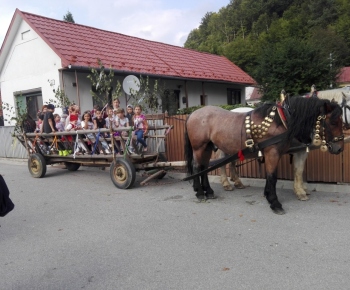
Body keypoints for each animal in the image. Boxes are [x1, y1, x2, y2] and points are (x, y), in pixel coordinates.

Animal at [185, 96, 344, 214]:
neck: (282, 120)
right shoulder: (273, 153)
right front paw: (275, 202)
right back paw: (201, 192)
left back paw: (209, 191)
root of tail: (193, 114)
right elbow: (273, 177)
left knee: (204, 167)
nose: (339, 148)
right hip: (199, 147)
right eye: (333, 122)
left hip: (207, 147)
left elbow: (285, 173)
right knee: (198, 167)